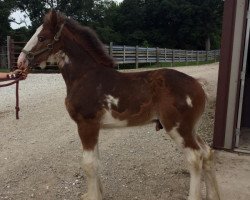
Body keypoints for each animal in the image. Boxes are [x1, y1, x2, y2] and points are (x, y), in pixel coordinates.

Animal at [17, 10, 220, 200]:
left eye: (41, 38)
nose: (20, 62)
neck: (86, 76)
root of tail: (198, 84)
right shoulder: (94, 127)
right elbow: (96, 161)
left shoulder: (86, 124)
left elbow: (88, 164)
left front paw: (93, 196)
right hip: (191, 128)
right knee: (207, 153)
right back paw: (213, 194)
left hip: (177, 128)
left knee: (195, 158)